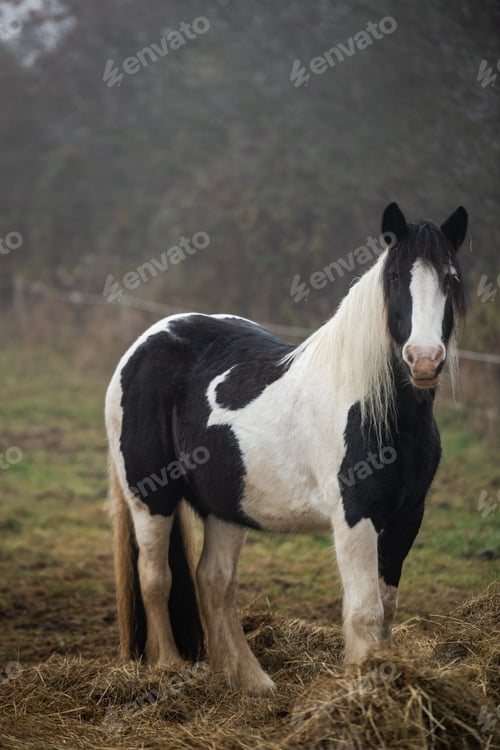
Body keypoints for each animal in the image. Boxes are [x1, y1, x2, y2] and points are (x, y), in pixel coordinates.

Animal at [105, 202, 468, 693]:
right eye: (395, 278)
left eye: (451, 278)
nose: (425, 360)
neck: (376, 406)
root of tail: (147, 340)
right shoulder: (355, 516)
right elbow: (364, 611)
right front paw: (362, 686)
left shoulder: (408, 515)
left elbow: (387, 608)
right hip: (150, 497)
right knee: (156, 578)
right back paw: (169, 669)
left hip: (225, 506)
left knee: (214, 582)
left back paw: (250, 681)